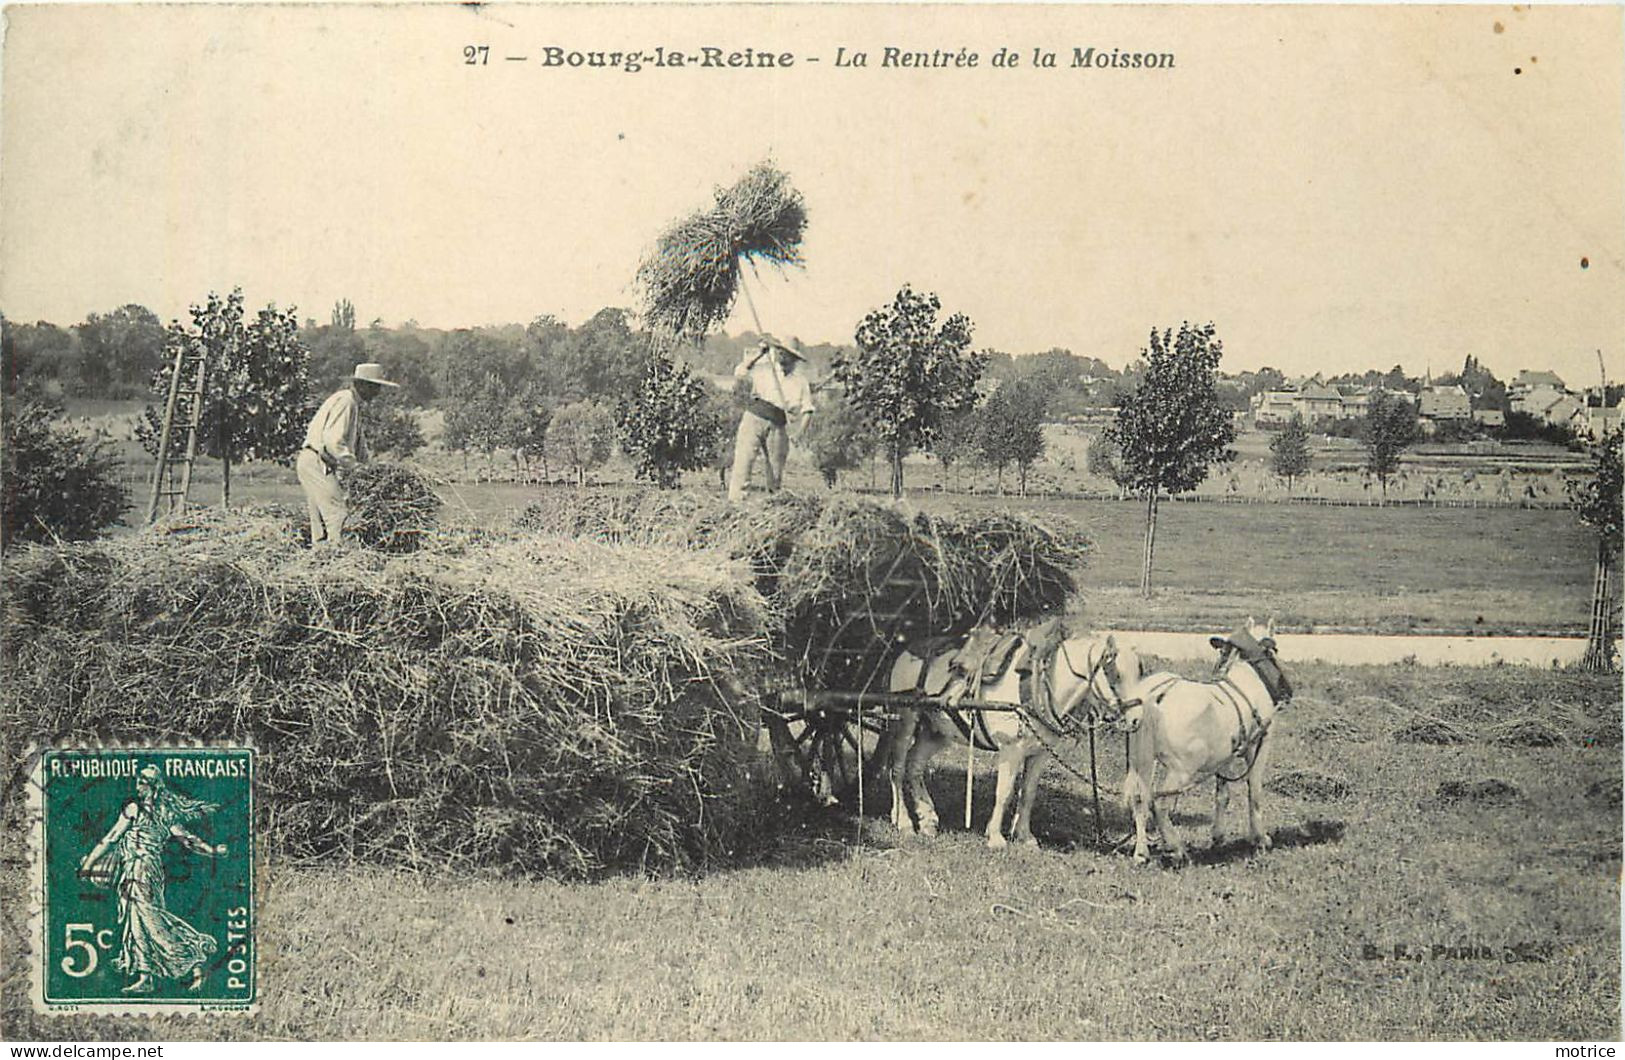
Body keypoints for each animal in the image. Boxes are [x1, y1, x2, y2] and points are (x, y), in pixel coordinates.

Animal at [890, 634, 1144, 851]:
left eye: (1139, 674)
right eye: (1115, 674)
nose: (1136, 720)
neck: (1039, 687)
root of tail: (906, 652)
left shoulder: (1040, 754)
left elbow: (1028, 793)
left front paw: (1024, 836)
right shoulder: (1010, 751)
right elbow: (1004, 792)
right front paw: (995, 837)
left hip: (937, 731)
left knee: (915, 766)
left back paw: (927, 819)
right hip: (905, 721)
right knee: (898, 769)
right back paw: (904, 822)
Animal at [1124, 617, 1287, 864]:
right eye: (1274, 649)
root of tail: (1155, 696)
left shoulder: (1226, 754)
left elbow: (1222, 794)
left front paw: (1218, 835)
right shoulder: (1259, 745)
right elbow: (1254, 791)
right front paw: (1260, 838)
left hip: (1141, 760)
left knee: (1139, 799)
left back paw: (1142, 852)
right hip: (1181, 770)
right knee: (1158, 804)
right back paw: (1176, 848)